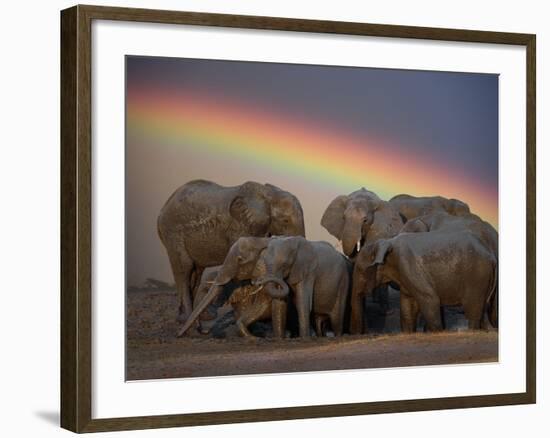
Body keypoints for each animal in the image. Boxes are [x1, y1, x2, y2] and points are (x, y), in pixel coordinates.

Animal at [158, 180, 306, 324]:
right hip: (173, 233)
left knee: (197, 271)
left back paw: (200, 317)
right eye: (285, 221)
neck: (268, 194)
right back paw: (186, 319)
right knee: (185, 268)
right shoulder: (239, 226)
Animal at [354, 231, 500, 334]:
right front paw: (409, 333)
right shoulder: (405, 275)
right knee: (482, 309)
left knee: (473, 310)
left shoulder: (408, 265)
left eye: (361, 270)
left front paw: (438, 332)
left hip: (477, 277)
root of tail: (491, 256)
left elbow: (430, 299)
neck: (386, 242)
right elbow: (408, 306)